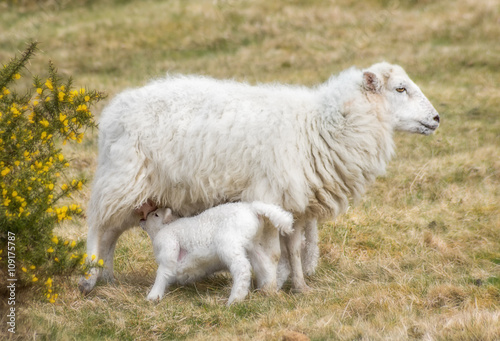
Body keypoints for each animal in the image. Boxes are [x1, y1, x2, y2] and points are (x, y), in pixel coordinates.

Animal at [140, 201, 292, 304]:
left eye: (155, 215)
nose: (142, 219)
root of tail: (252, 208)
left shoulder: (169, 247)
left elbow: (163, 272)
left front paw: (153, 296)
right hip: (253, 245)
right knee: (264, 264)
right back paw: (267, 290)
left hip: (228, 243)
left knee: (242, 268)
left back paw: (235, 299)